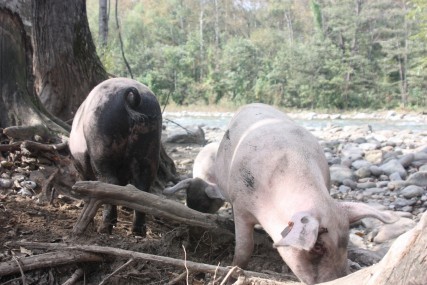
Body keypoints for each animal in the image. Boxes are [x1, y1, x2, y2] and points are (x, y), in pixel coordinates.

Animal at [68, 76, 162, 234]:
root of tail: (132, 98)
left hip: (101, 144)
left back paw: (104, 228)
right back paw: (138, 231)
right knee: (143, 185)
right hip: (150, 144)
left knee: (109, 183)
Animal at [214, 103, 398, 282]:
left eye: (345, 241)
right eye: (317, 246)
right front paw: (233, 269)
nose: (339, 278)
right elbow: (245, 247)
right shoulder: (240, 205)